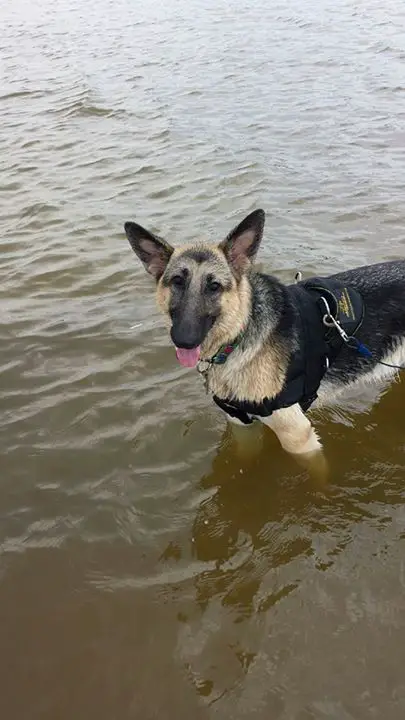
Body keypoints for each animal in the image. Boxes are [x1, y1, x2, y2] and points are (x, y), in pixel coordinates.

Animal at [124, 208, 404, 462]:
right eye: (177, 282)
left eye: (214, 286)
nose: (184, 339)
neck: (239, 335)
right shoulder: (242, 425)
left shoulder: (298, 437)